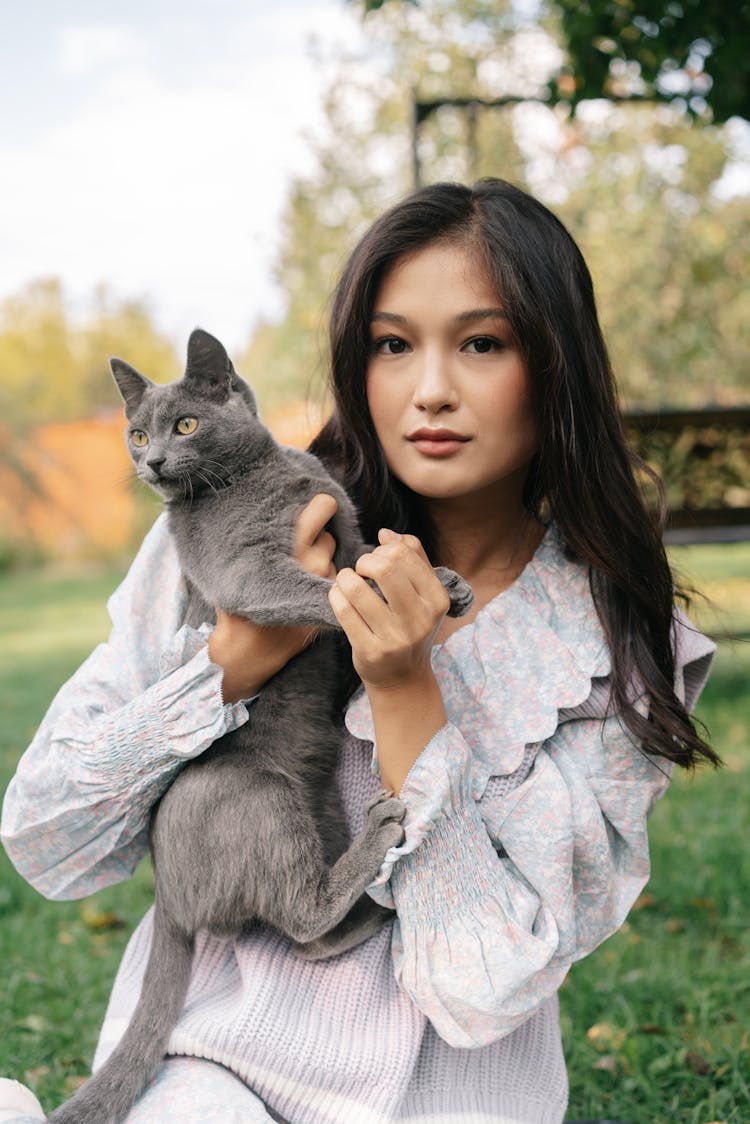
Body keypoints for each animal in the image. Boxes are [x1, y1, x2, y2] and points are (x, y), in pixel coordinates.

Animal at [46, 328, 472, 1124]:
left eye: (184, 425)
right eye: (138, 432)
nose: (150, 461)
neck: (267, 475)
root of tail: (169, 899)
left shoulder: (344, 519)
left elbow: (363, 556)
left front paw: (442, 580)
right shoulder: (249, 576)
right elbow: (334, 587)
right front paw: (390, 595)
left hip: (315, 802)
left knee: (304, 936)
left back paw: (373, 916)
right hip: (255, 795)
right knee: (299, 916)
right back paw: (379, 849)